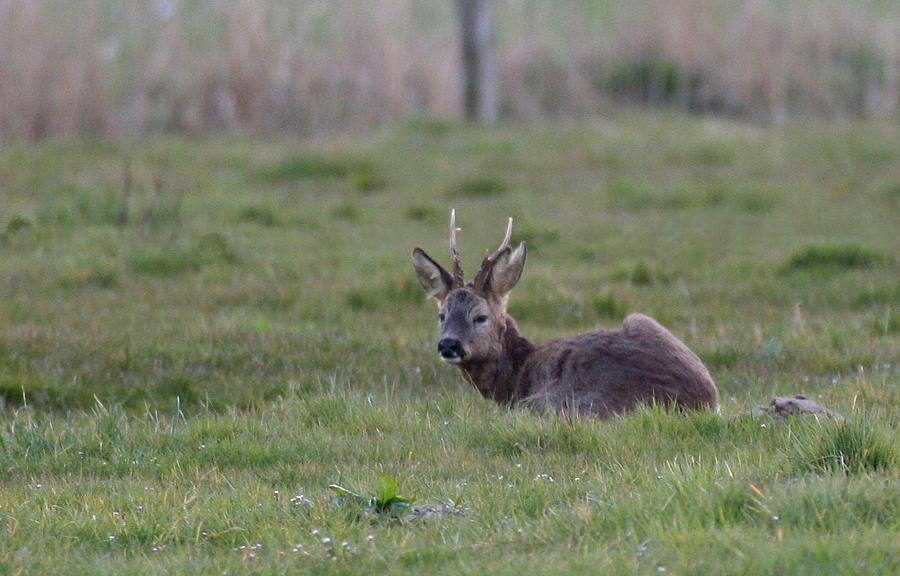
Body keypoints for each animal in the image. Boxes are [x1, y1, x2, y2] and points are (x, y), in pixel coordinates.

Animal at [414, 212, 716, 418]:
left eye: (480, 317)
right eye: (442, 315)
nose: (449, 344)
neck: (516, 375)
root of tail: (700, 401)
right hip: (641, 319)